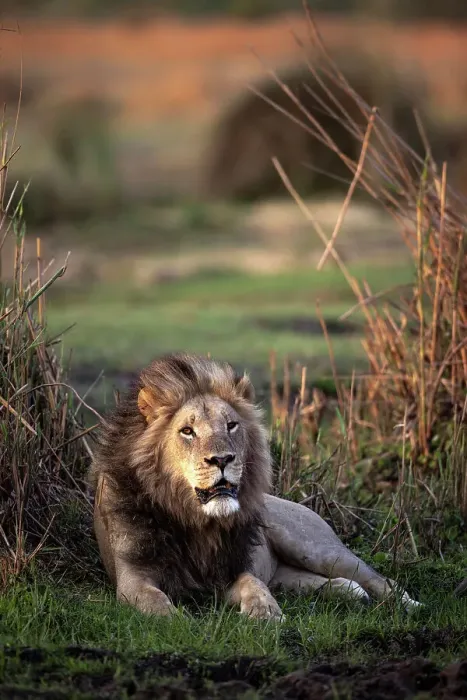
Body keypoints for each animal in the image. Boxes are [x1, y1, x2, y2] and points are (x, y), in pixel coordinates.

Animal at [89, 352, 421, 620]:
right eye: (187, 431)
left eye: (231, 425)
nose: (222, 459)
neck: (191, 517)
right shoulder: (132, 579)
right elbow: (154, 602)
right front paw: (176, 621)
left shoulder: (231, 568)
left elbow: (253, 583)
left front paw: (266, 613)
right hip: (288, 578)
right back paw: (351, 592)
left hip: (316, 548)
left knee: (380, 579)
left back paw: (410, 605)